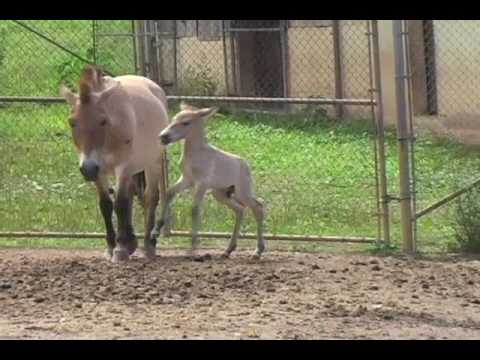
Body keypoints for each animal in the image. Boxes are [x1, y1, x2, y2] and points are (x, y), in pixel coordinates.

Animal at [60, 65, 169, 262]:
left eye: (103, 121)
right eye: (72, 122)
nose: (87, 169)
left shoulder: (123, 167)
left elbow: (120, 203)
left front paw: (120, 249)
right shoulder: (99, 170)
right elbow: (106, 204)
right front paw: (112, 245)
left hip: (153, 163)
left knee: (150, 197)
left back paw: (148, 245)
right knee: (132, 195)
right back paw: (132, 241)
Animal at [152, 102, 266, 258]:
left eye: (186, 122)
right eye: (173, 119)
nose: (163, 136)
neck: (196, 155)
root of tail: (246, 165)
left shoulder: (202, 184)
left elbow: (194, 209)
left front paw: (192, 247)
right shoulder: (187, 180)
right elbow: (169, 192)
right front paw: (155, 231)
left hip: (242, 192)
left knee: (257, 207)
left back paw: (258, 251)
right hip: (220, 194)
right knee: (240, 210)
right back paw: (228, 250)